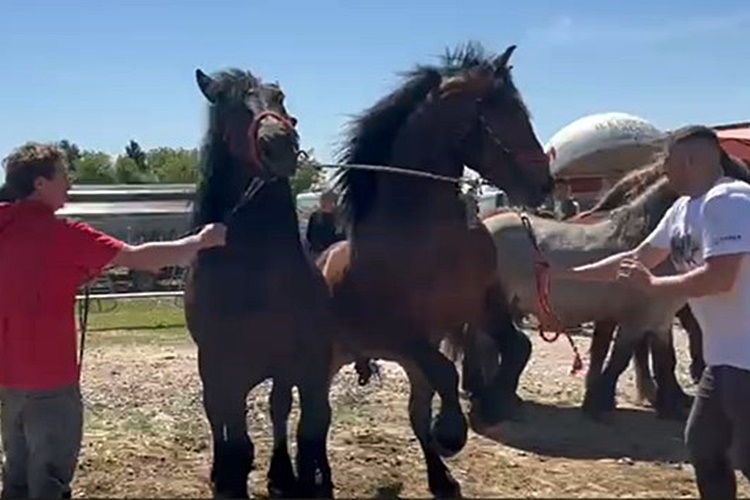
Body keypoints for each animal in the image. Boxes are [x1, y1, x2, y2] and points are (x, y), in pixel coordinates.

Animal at [184, 68, 336, 498]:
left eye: (279, 98)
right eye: (230, 105)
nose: (278, 143)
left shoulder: (297, 361)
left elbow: (293, 418)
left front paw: (288, 475)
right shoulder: (225, 366)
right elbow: (235, 435)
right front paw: (231, 478)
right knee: (216, 414)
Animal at [318, 42, 552, 496]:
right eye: (507, 111)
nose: (544, 185)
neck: (426, 233)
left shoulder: (483, 305)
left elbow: (518, 347)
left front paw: (493, 404)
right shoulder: (400, 332)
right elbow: (447, 370)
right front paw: (452, 432)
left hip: (408, 362)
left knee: (415, 413)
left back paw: (441, 480)